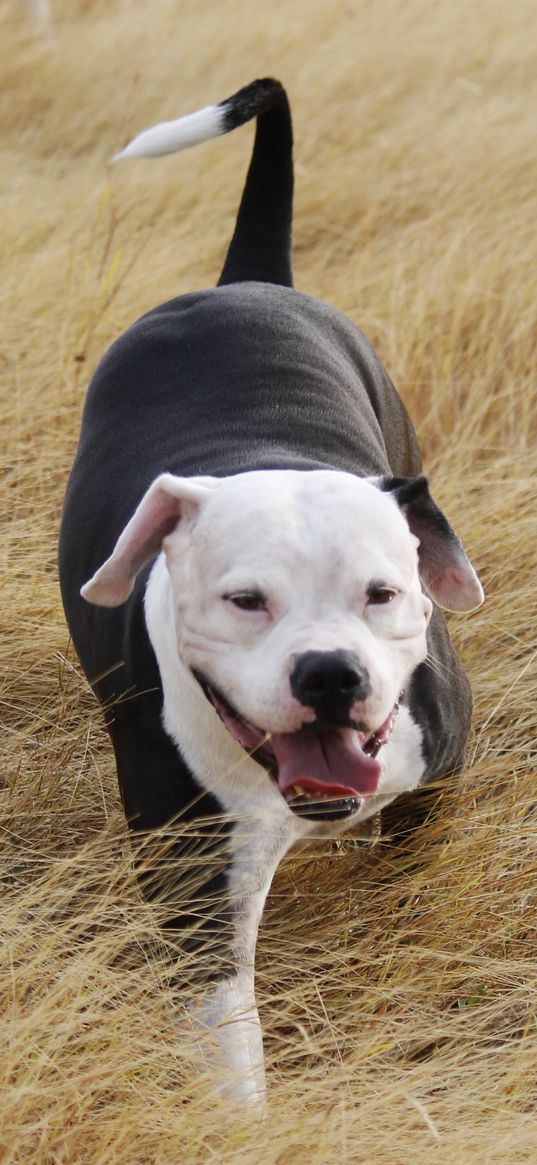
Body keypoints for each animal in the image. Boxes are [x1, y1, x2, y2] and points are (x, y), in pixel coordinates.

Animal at [58, 79, 482, 1099]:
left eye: (381, 593)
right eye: (244, 601)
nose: (329, 672)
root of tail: (240, 281)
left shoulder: (430, 789)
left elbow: (404, 897)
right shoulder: (193, 884)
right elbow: (229, 1045)